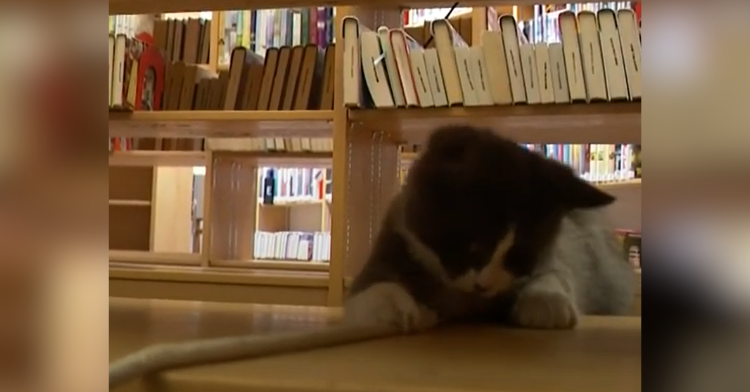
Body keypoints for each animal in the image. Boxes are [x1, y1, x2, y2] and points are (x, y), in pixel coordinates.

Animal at [344, 125, 636, 330]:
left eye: (520, 255)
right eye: (474, 244)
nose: (483, 285)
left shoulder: (556, 255)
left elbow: (556, 272)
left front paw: (546, 299)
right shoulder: (393, 241)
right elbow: (372, 283)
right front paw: (393, 307)